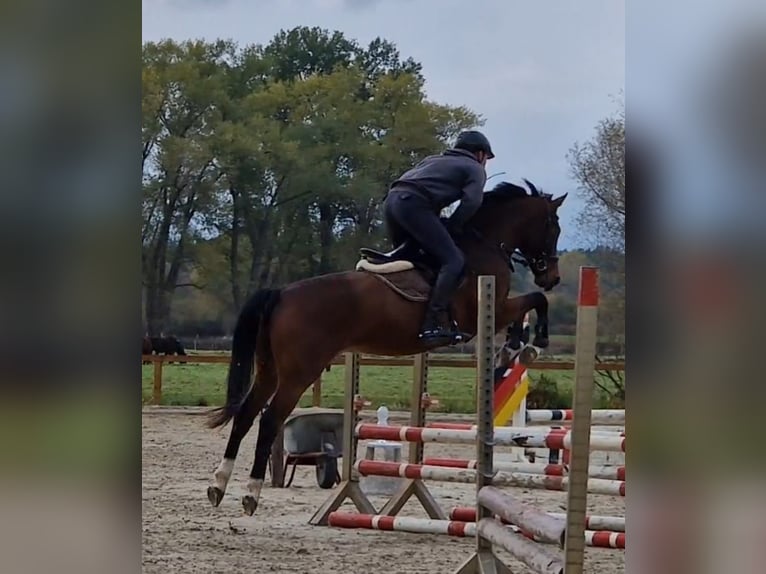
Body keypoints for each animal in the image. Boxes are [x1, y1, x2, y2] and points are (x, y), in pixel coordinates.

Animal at [205, 180, 567, 517]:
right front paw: (535, 339)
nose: (552, 277)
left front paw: (518, 343)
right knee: (269, 420)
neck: (484, 242)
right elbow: (535, 300)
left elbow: (529, 305)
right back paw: (251, 494)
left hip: (269, 370)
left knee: (246, 415)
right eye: (554, 227)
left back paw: (218, 485)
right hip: (298, 374)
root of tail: (280, 293)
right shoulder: (489, 310)